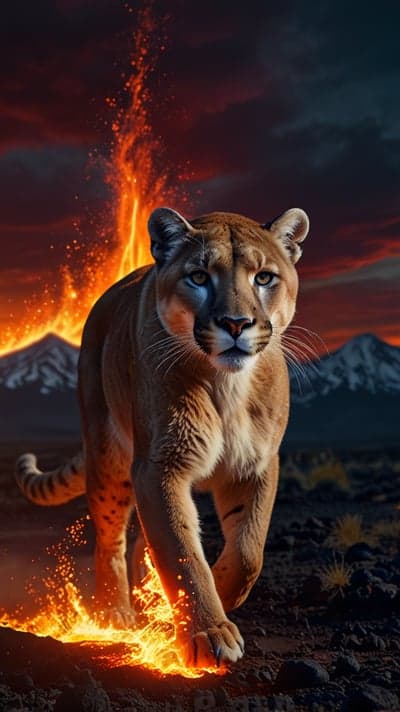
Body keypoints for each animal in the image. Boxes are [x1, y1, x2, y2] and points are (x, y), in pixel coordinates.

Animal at [15, 206, 309, 668]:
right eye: (199, 276)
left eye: (264, 277)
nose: (236, 324)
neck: (226, 386)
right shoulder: (159, 466)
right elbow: (181, 552)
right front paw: (209, 631)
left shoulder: (257, 463)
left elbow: (248, 551)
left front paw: (219, 596)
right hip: (109, 457)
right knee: (110, 539)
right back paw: (116, 613)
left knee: (141, 542)